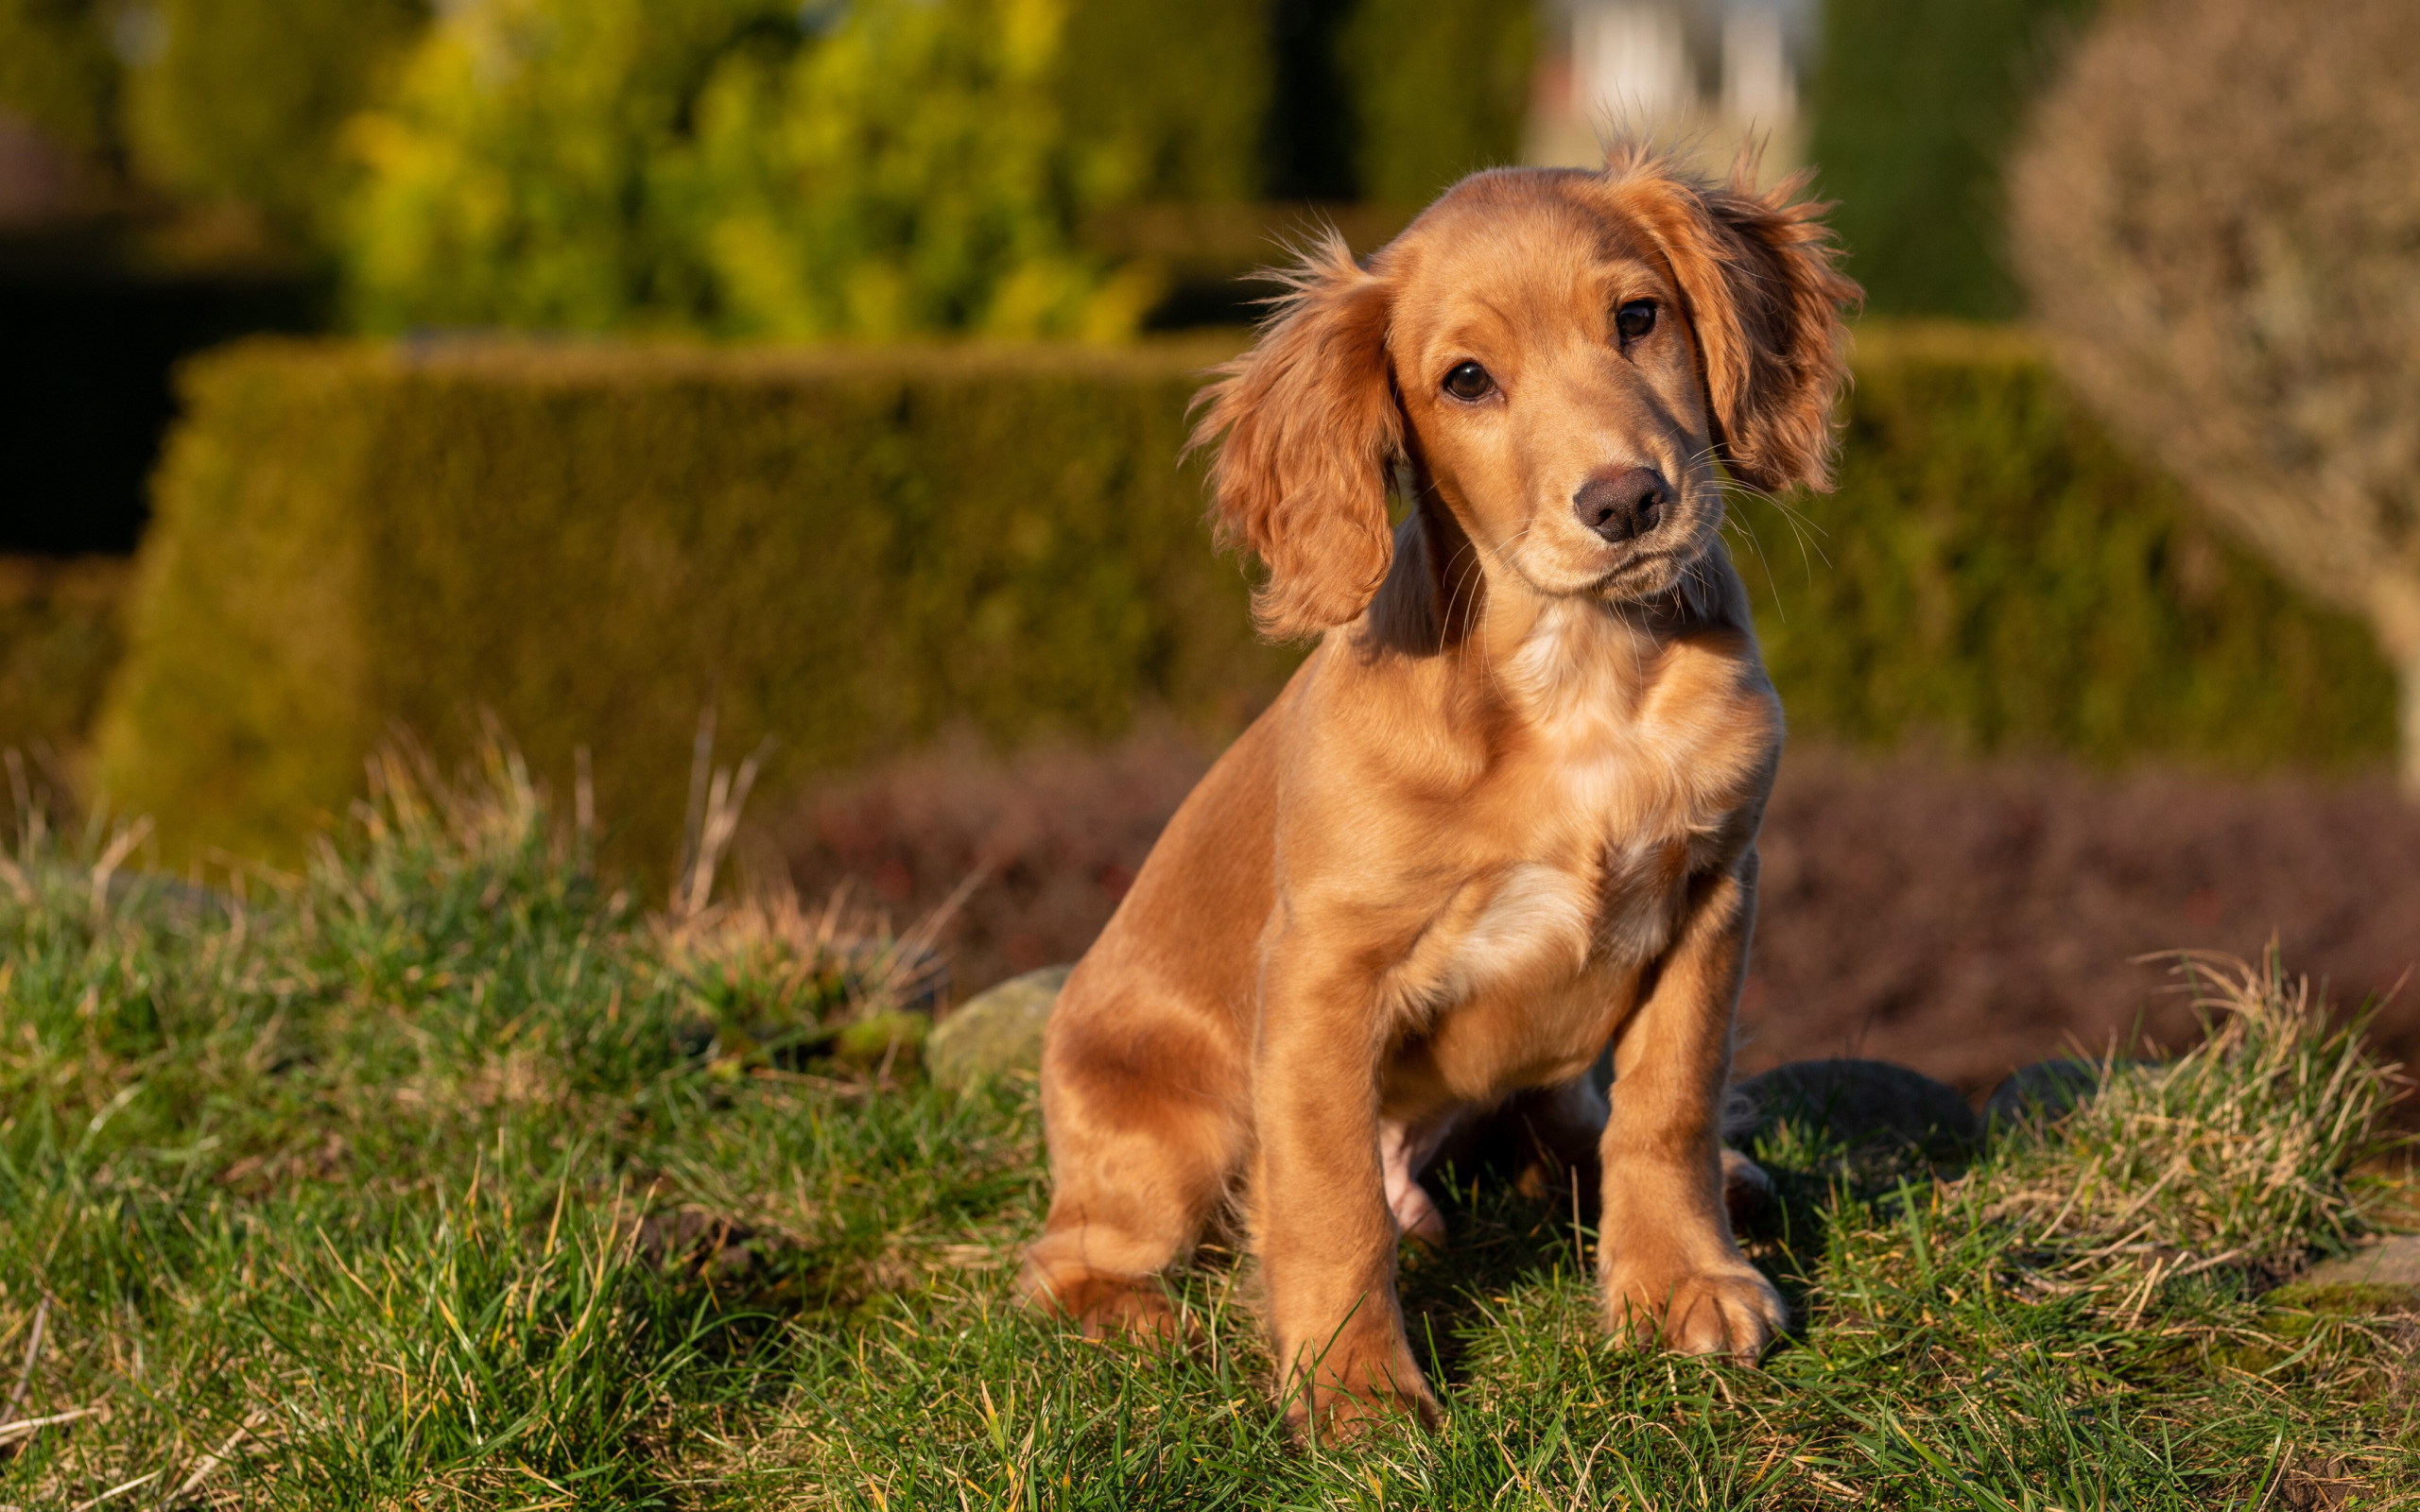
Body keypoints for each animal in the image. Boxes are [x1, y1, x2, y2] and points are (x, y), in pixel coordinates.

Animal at [1016, 150, 1848, 1441]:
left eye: (1638, 318)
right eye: (1466, 381)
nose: (1626, 501)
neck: (1578, 678)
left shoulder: (1713, 889)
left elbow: (1669, 1104)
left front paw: (1679, 1280)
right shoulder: (1324, 973)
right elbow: (1329, 1196)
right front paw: (1354, 1383)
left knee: (1573, 1120)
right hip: (1163, 1141)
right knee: (1065, 1260)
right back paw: (1145, 1320)